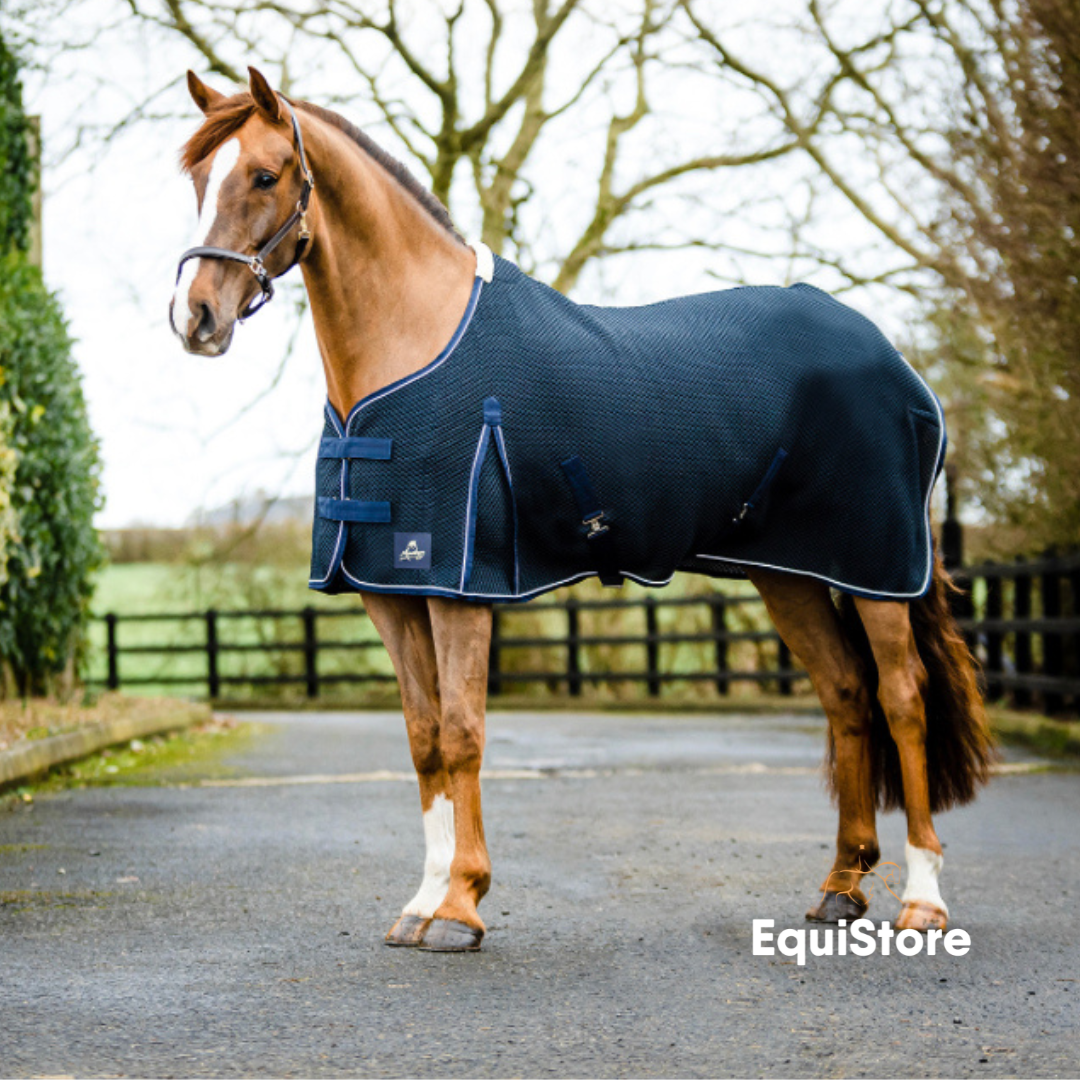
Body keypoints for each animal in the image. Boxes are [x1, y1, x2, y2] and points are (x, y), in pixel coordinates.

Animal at [170, 67, 995, 953]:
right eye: (198, 177)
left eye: (264, 175)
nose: (195, 316)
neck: (413, 342)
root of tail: (892, 359)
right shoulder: (389, 589)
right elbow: (424, 740)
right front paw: (421, 902)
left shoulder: (459, 589)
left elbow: (463, 732)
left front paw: (462, 904)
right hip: (792, 574)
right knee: (845, 694)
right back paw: (841, 886)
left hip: (880, 570)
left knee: (901, 699)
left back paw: (923, 898)